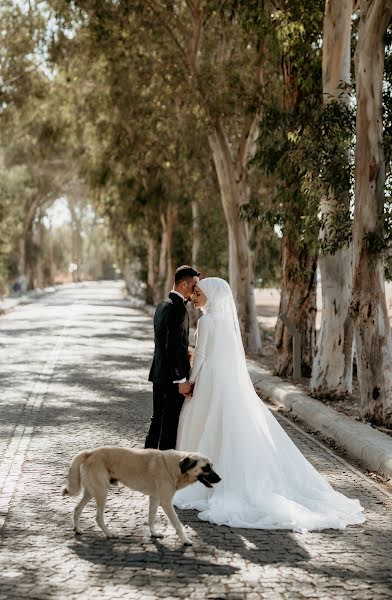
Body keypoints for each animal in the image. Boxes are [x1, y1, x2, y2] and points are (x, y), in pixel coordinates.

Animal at [62, 448, 219, 548]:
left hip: (91, 492)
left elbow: (151, 518)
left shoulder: (154, 498)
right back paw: (109, 534)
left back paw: (77, 529)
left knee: (77, 509)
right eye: (206, 467)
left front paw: (154, 533)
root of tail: (90, 453)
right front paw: (185, 540)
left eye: (211, 466)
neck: (176, 466)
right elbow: (177, 524)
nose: (220, 478)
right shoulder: (166, 502)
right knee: (98, 517)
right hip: (102, 492)